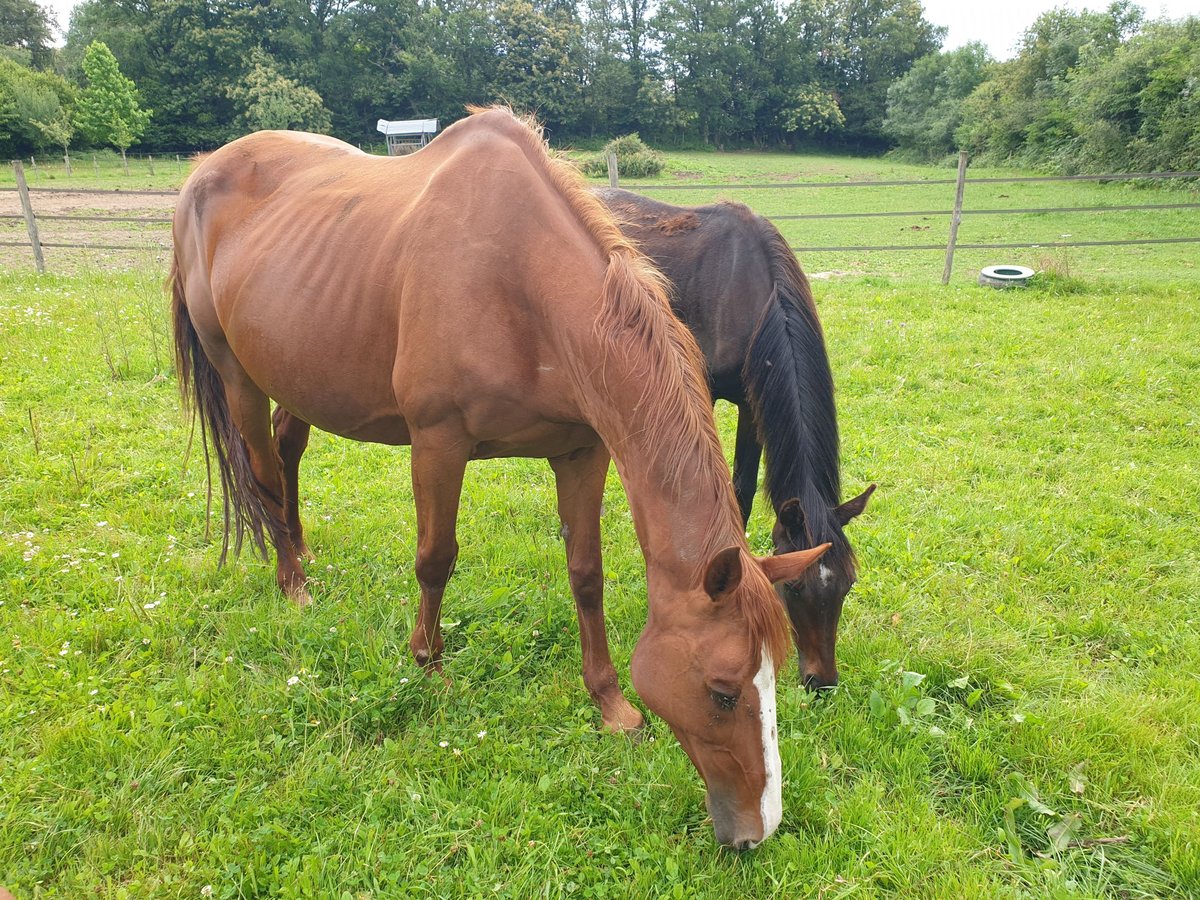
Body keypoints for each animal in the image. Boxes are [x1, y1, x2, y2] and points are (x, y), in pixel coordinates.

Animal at [170, 108, 829, 850]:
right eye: (722, 690)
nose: (757, 830)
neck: (519, 283)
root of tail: (201, 174)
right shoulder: (438, 443)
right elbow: (435, 559)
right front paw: (429, 667)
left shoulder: (582, 452)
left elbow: (587, 575)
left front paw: (610, 703)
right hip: (238, 377)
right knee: (261, 476)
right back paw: (294, 584)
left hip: (302, 375)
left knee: (288, 453)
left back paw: (305, 553)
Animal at [595, 188, 875, 691]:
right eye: (795, 587)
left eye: (847, 584)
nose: (821, 681)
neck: (752, 291)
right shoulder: (698, 392)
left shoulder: (752, 403)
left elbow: (742, 491)